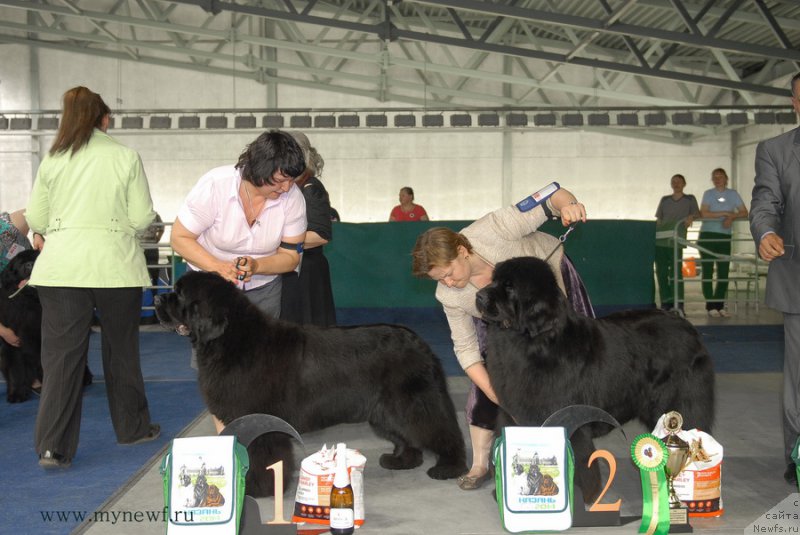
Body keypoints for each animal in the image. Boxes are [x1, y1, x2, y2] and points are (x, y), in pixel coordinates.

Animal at [155, 272, 468, 498]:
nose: (157, 298)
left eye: (179, 293)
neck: (229, 341)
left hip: (412, 403)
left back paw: (449, 467)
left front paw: (261, 489)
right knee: (407, 436)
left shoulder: (263, 423)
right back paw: (402, 460)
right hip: (386, 411)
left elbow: (265, 458)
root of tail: (421, 342)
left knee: (441, 430)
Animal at [478, 258, 716, 504]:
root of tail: (691, 329)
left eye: (509, 287)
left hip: (678, 406)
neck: (532, 343)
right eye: (494, 280)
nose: (479, 296)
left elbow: (580, 462)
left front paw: (582, 497)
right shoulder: (512, 411)